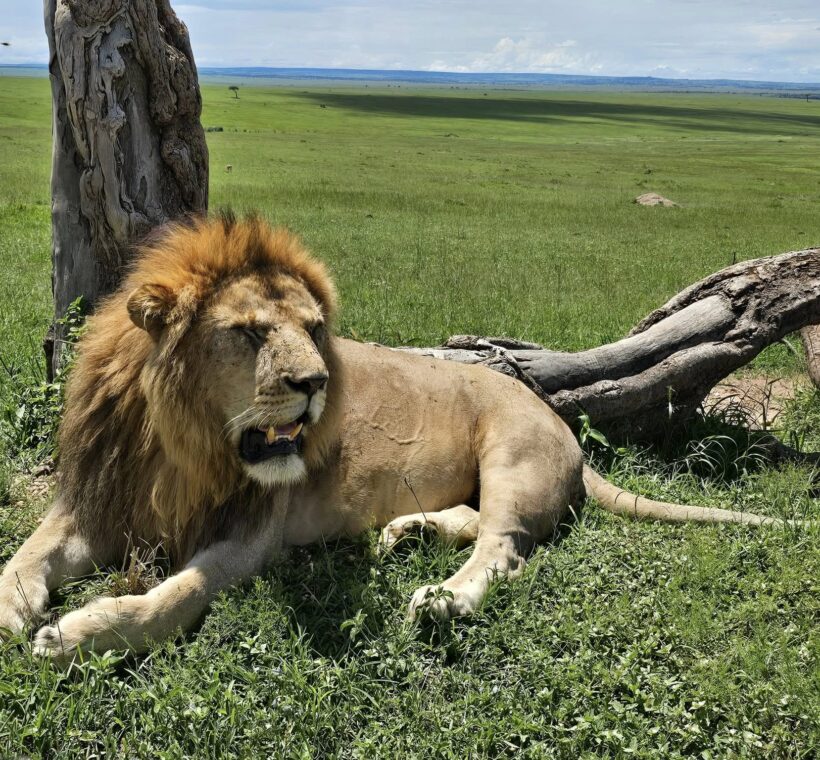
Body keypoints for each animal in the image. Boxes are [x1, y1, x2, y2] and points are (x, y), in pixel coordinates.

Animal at [0, 214, 790, 660]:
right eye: (250, 333)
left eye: (315, 328)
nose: (317, 382)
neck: (182, 445)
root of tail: (558, 417)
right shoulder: (101, 498)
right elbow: (28, 552)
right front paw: (14, 603)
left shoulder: (249, 536)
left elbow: (175, 594)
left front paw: (78, 633)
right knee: (472, 521)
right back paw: (406, 532)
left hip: (513, 457)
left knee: (503, 547)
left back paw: (442, 599)